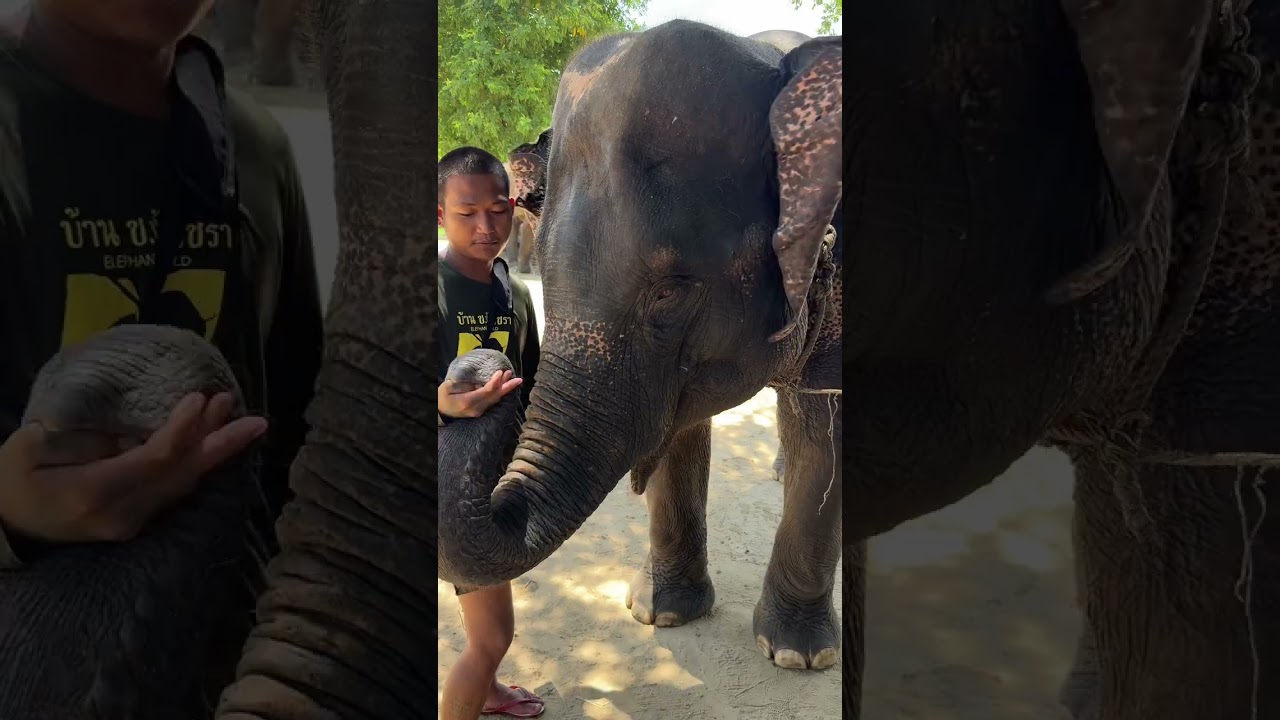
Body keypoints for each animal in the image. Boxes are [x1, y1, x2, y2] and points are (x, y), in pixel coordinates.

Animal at [442, 21, 844, 674]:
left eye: (670, 292)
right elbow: (678, 431)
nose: (484, 370)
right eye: (542, 271)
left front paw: (798, 656)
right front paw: (663, 614)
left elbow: (826, 433)